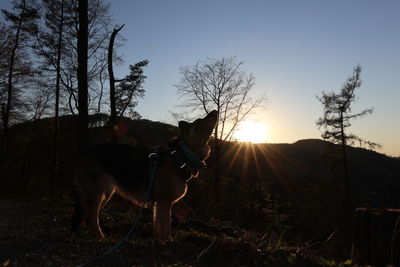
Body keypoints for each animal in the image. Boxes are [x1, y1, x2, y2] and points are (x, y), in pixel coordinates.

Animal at [70, 110, 217, 244]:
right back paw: (101, 238)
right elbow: (166, 228)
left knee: (88, 216)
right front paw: (167, 243)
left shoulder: (158, 204)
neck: (182, 154)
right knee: (91, 217)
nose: (214, 111)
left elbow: (158, 228)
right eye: (199, 121)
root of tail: (83, 154)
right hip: (98, 194)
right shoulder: (165, 203)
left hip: (106, 194)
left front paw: (159, 243)